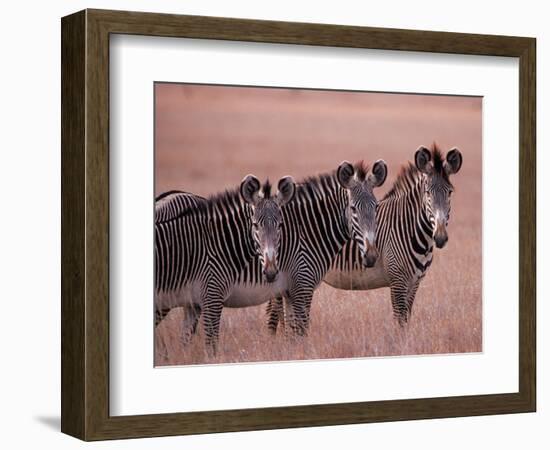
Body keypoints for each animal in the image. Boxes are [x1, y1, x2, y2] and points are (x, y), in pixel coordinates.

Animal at [268, 144, 466, 330]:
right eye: (427, 193)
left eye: (450, 192)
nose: (440, 237)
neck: (409, 228)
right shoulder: (398, 282)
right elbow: (400, 321)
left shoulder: (414, 283)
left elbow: (406, 320)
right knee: (274, 311)